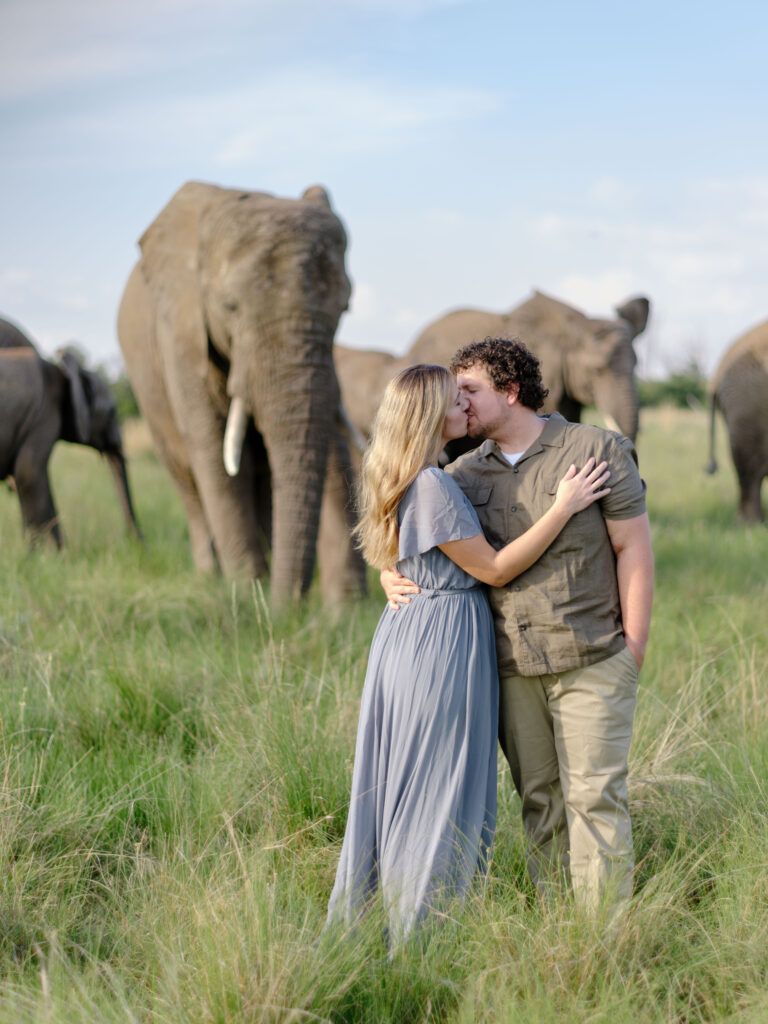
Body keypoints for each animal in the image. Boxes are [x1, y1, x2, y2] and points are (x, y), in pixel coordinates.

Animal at [0, 316, 141, 546]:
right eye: (112, 412)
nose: (136, 543)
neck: (64, 372)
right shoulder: (42, 416)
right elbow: (29, 474)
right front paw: (55, 553)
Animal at [117, 180, 366, 609]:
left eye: (344, 308)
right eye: (230, 307)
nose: (290, 611)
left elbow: (325, 439)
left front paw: (341, 609)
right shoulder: (180, 334)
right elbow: (213, 452)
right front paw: (249, 596)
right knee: (190, 481)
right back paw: (213, 577)